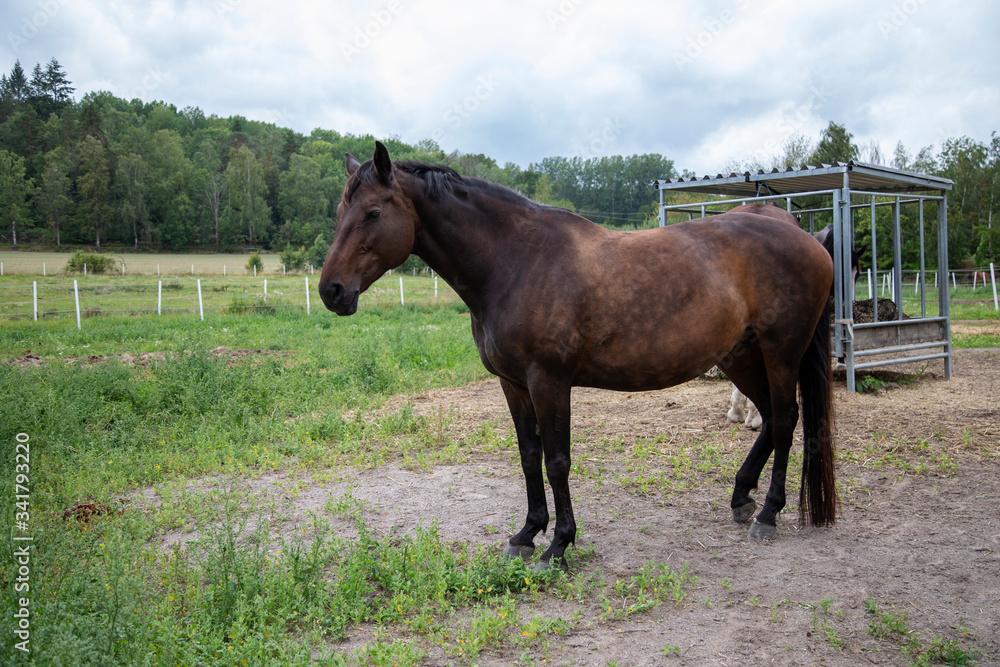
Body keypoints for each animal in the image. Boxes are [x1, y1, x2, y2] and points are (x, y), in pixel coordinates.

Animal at [320, 144, 836, 572]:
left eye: (372, 212)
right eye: (342, 211)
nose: (331, 291)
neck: (515, 262)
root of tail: (796, 229)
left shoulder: (548, 381)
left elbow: (557, 461)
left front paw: (559, 545)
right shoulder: (513, 384)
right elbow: (529, 458)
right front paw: (526, 534)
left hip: (780, 351)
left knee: (785, 419)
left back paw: (767, 514)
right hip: (741, 356)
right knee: (770, 417)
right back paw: (741, 497)